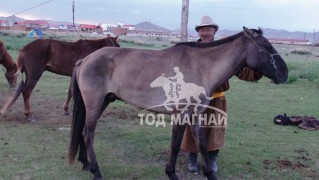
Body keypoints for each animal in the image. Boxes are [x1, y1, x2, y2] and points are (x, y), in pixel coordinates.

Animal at [69, 27, 288, 179]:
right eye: (266, 47)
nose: (284, 74)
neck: (201, 67)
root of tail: (86, 59)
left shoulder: (196, 115)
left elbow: (202, 145)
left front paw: (210, 174)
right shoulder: (181, 114)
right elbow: (175, 145)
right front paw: (171, 173)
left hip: (102, 102)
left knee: (83, 132)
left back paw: (86, 164)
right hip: (95, 103)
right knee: (88, 134)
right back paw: (96, 171)